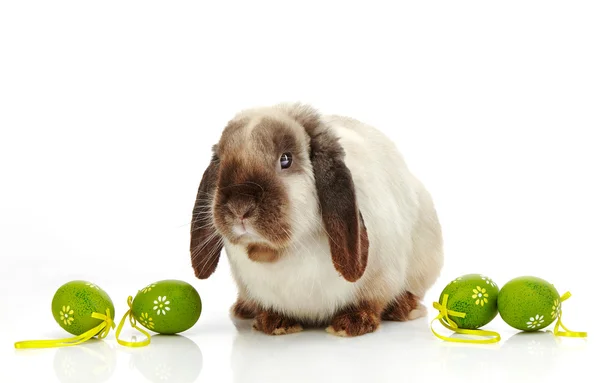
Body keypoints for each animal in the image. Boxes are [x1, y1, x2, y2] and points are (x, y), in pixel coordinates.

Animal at [190, 103, 442, 338]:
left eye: (286, 159)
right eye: (222, 162)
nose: (239, 208)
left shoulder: (382, 277)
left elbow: (370, 302)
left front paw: (352, 323)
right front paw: (274, 322)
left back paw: (403, 308)